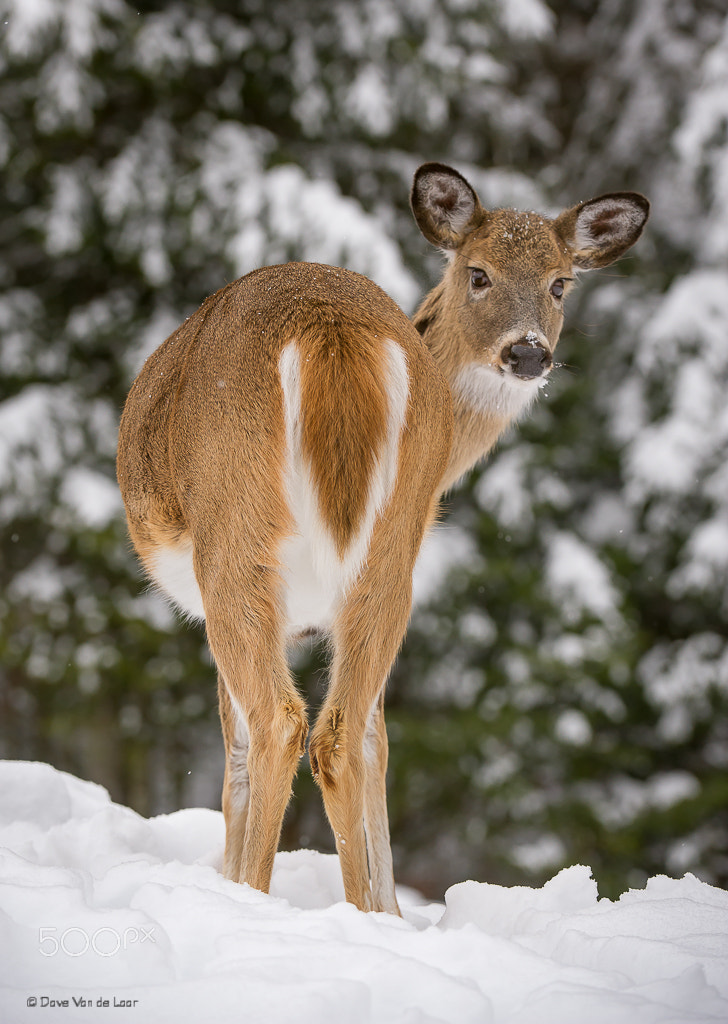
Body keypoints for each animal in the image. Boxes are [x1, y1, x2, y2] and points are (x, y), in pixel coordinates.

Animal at [116, 163, 649, 915]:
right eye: (478, 273)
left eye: (560, 283)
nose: (527, 352)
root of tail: (330, 327)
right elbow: (377, 739)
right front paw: (390, 909)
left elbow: (238, 758)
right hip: (390, 553)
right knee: (347, 735)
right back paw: (368, 914)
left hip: (234, 537)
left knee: (282, 723)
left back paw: (254, 899)